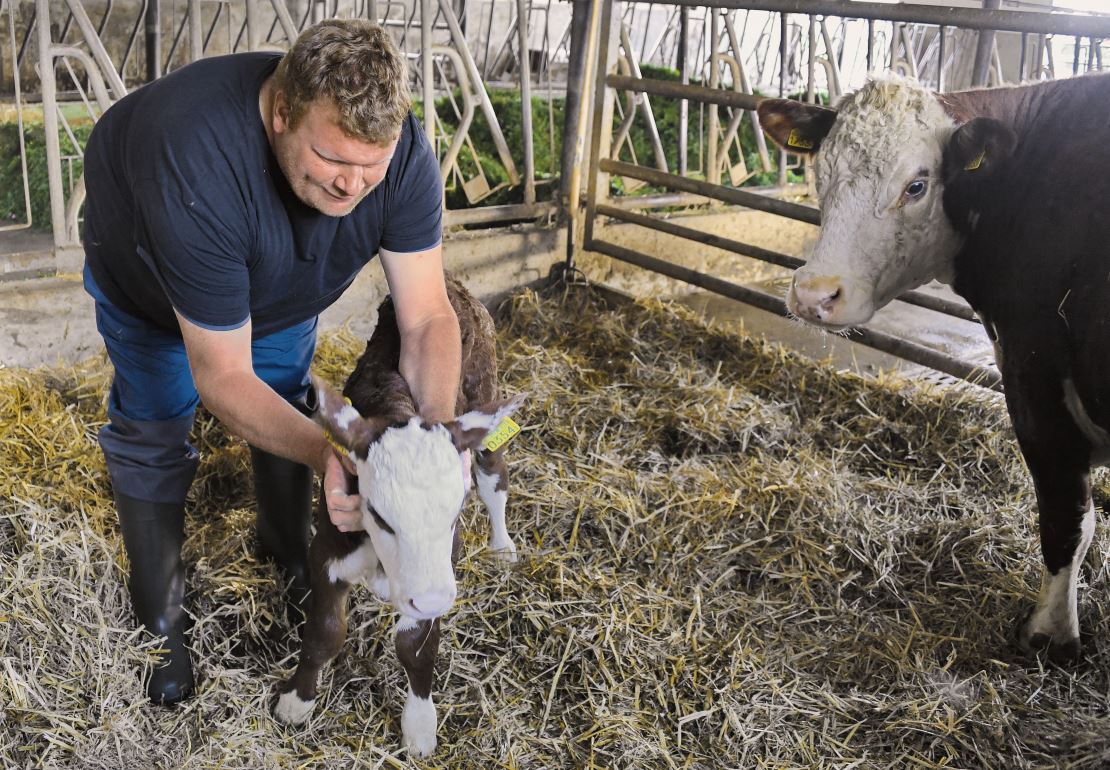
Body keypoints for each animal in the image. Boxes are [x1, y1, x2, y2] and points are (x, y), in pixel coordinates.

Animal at [273, 274, 523, 758]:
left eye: (453, 516)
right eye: (379, 516)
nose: (431, 599)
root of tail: (453, 284)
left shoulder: (440, 569)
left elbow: (416, 646)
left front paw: (420, 727)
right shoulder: (328, 548)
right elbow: (325, 632)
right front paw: (297, 700)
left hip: (484, 400)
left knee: (494, 480)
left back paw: (503, 546)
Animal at [759, 72, 1110, 665]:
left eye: (917, 185)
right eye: (821, 173)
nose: (813, 295)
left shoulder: (1035, 370)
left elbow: (1068, 520)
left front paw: (1049, 635)